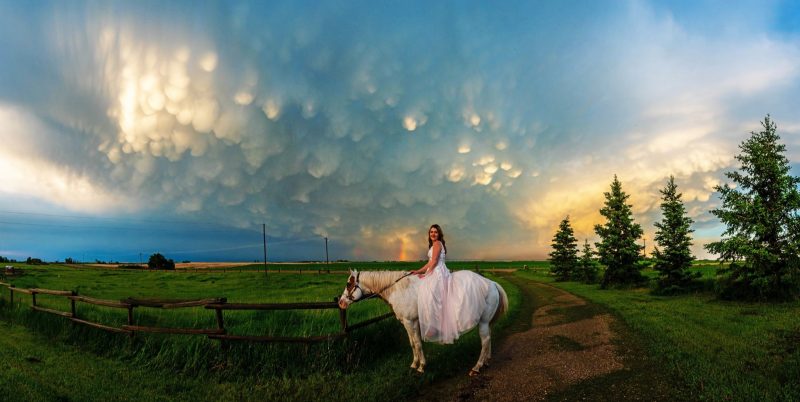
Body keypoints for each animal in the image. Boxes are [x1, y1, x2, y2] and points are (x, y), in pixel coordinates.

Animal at [338, 268, 506, 376]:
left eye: (348, 284)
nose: (340, 302)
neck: (400, 289)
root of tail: (492, 283)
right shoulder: (409, 323)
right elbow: (413, 343)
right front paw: (414, 364)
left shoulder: (410, 322)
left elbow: (417, 343)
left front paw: (421, 367)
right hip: (486, 322)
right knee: (488, 338)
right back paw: (486, 362)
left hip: (483, 322)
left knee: (485, 341)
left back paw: (477, 367)